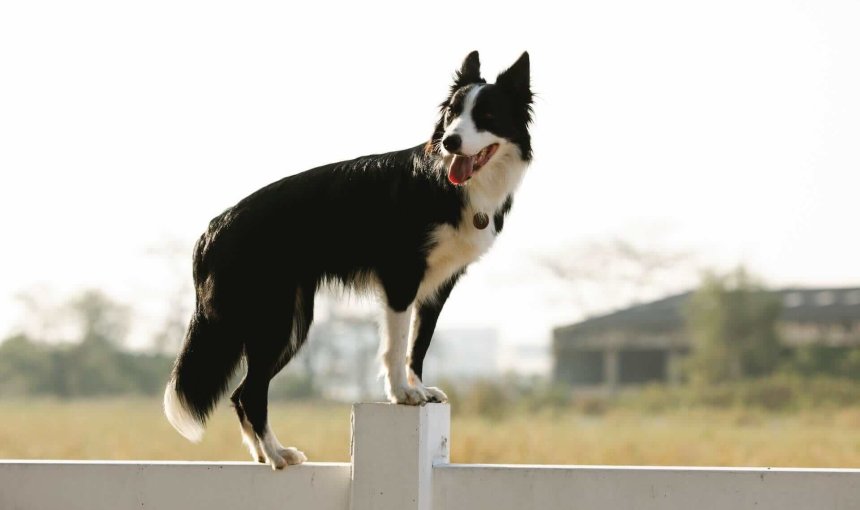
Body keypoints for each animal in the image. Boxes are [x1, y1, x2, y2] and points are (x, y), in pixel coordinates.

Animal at [163, 49, 532, 468]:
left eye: (486, 116)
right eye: (452, 114)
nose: (451, 141)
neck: (448, 183)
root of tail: (212, 230)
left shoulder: (438, 286)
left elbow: (418, 346)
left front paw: (420, 389)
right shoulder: (401, 277)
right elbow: (396, 344)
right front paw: (401, 394)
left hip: (292, 322)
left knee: (243, 392)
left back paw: (263, 453)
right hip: (273, 319)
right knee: (250, 392)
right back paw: (277, 455)